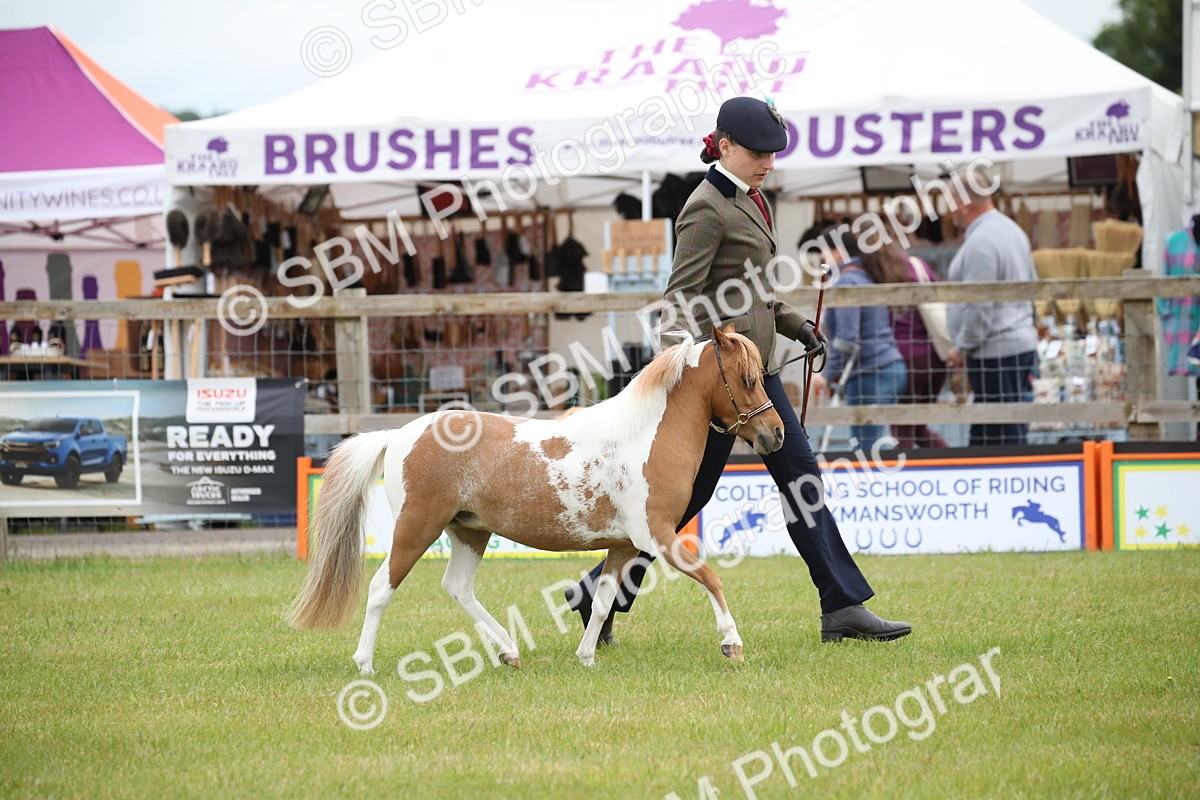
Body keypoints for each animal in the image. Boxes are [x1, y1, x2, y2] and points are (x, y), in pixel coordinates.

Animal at [288, 325, 785, 671]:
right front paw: (732, 644)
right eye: (746, 378)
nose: (776, 434)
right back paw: (365, 664)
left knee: (457, 587)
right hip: (416, 527)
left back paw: (509, 652)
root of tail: (399, 435)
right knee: (381, 588)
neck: (644, 437)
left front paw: (586, 657)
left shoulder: (624, 545)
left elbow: (603, 599)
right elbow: (710, 577)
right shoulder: (658, 535)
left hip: (469, 531)